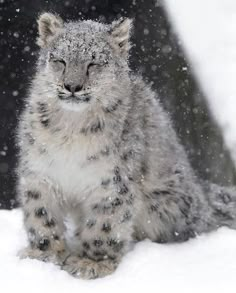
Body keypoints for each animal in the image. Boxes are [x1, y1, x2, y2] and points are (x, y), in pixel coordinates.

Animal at [17, 13, 236, 278]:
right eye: (60, 60)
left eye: (94, 63)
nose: (72, 86)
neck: (71, 129)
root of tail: (202, 195)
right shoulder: (40, 173)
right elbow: (41, 216)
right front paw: (42, 254)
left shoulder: (112, 182)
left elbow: (103, 226)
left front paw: (91, 263)